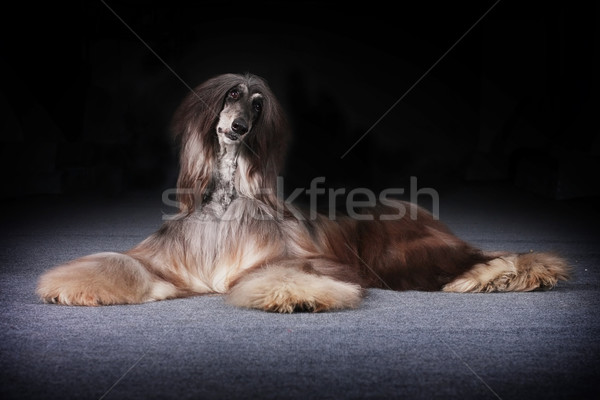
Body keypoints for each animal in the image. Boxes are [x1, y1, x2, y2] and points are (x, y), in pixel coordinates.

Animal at [37, 73, 572, 314]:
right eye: (232, 95)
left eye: (258, 106)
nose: (238, 127)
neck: (226, 200)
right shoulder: (168, 258)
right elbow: (123, 261)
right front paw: (78, 284)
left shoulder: (301, 256)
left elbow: (294, 271)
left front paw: (296, 296)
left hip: (404, 250)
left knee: (480, 258)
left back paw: (504, 275)